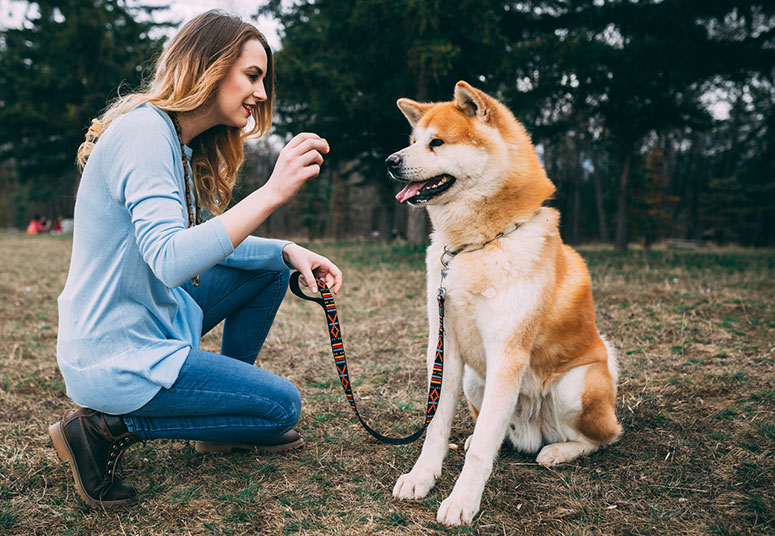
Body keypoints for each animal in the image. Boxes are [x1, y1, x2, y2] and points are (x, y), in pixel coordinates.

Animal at [388, 81, 624, 524]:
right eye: (412, 142)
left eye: (436, 143)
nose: (391, 161)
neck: (475, 245)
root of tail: (534, 430)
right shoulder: (443, 348)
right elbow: (437, 427)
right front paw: (421, 477)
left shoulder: (507, 352)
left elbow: (483, 449)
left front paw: (462, 501)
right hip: (473, 380)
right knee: (495, 428)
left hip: (575, 386)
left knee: (602, 438)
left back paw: (558, 451)